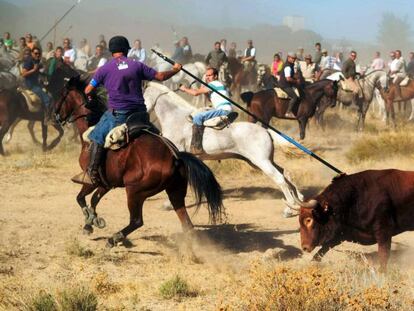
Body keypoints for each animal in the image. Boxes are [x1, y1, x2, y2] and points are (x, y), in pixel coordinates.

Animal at [55, 76, 225, 249]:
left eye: (62, 95)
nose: (55, 115)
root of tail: (176, 157)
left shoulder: (91, 179)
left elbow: (81, 198)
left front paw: (90, 220)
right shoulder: (106, 183)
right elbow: (94, 200)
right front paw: (91, 222)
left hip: (135, 192)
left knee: (137, 220)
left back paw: (114, 238)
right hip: (175, 193)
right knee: (186, 224)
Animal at [145, 81, 304, 217]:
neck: (176, 119)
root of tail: (265, 130)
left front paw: (168, 204)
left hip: (262, 162)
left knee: (280, 179)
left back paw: (289, 209)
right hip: (260, 161)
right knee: (285, 173)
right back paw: (297, 201)